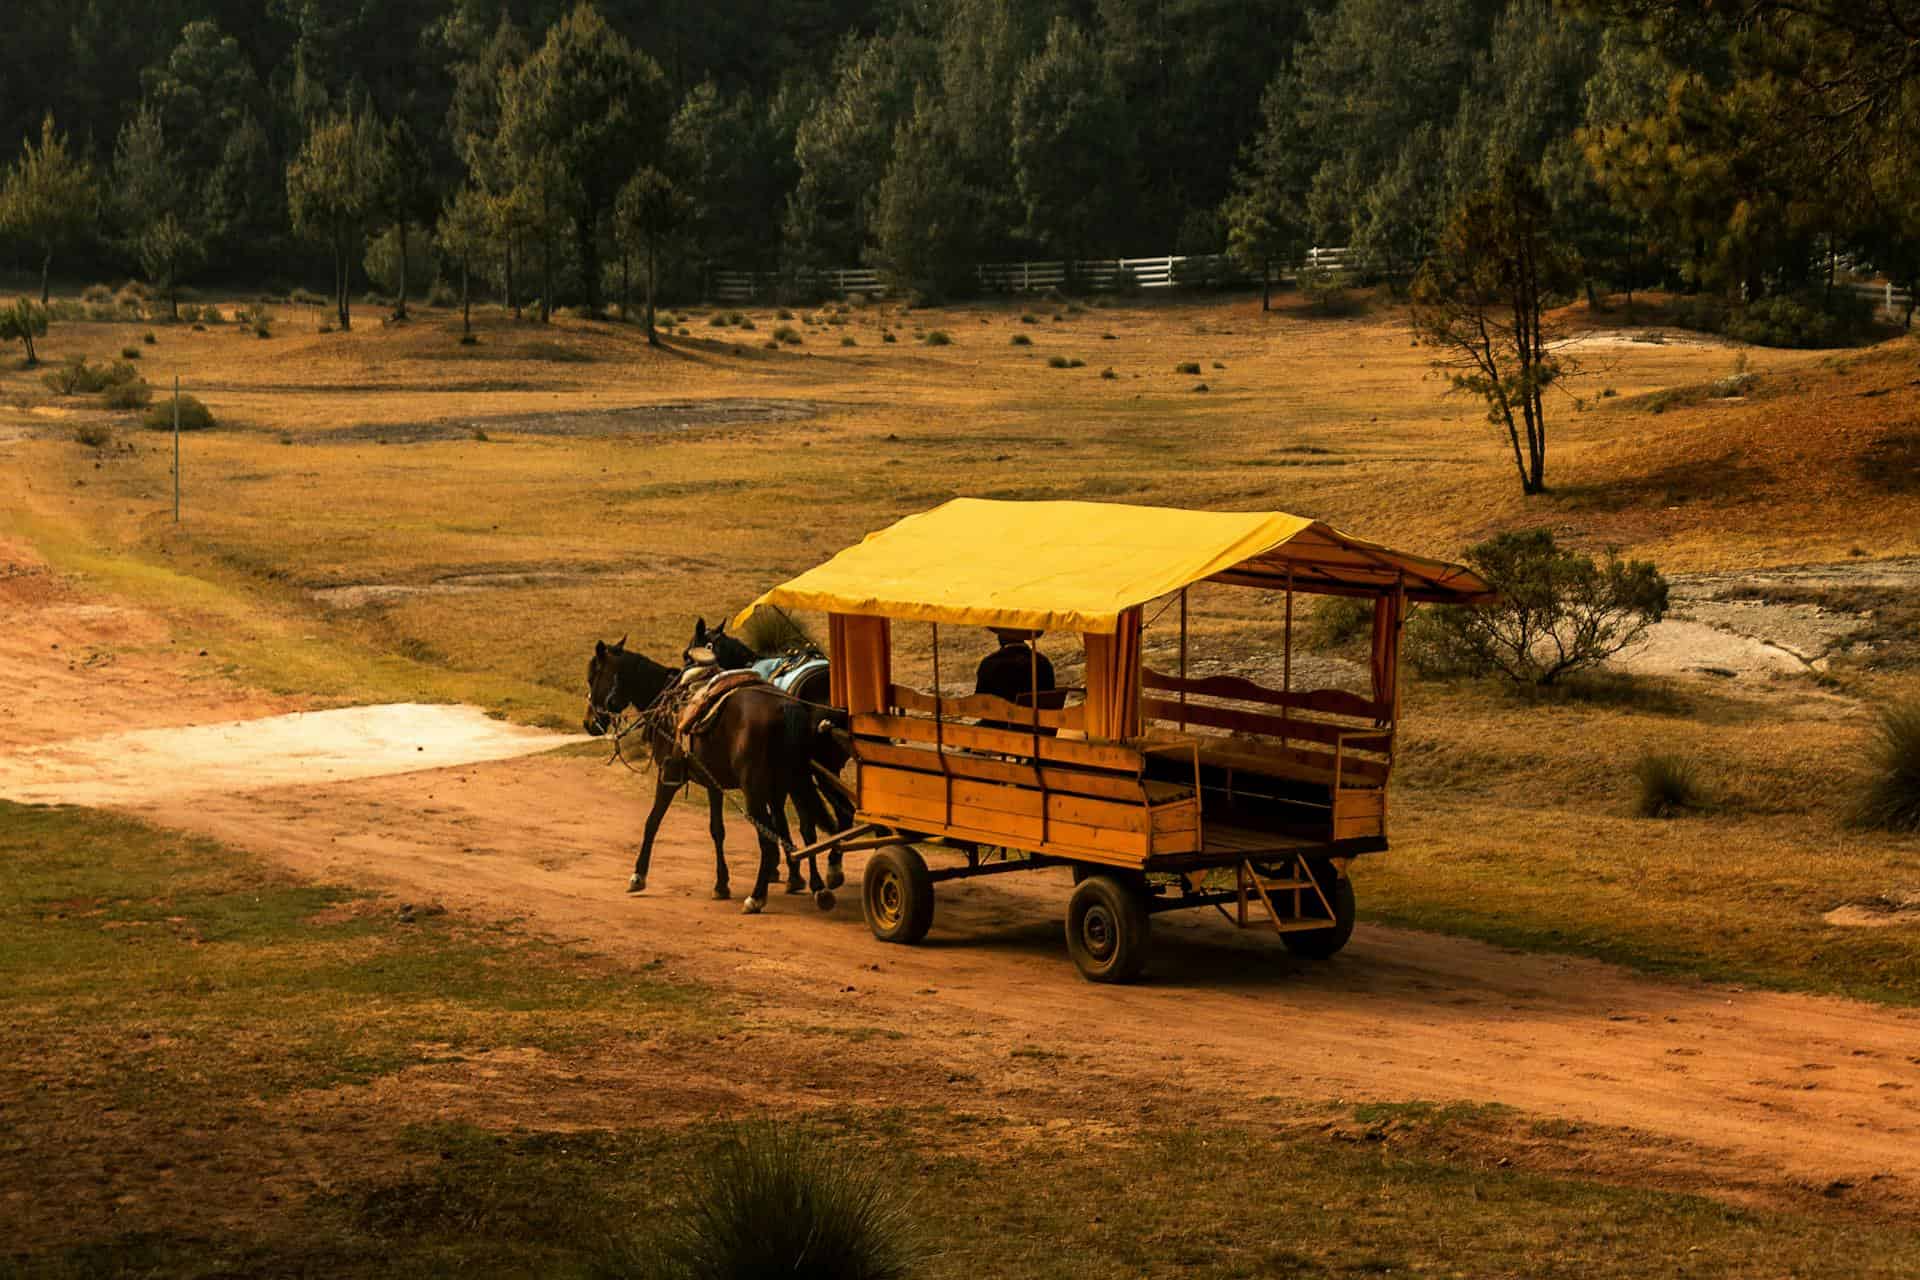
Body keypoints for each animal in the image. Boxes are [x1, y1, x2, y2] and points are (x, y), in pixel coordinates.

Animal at [584, 636, 847, 913]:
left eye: (593, 677)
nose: (589, 723)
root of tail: (785, 706)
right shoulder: (713, 783)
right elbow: (717, 830)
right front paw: (721, 884)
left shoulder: (668, 776)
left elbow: (652, 822)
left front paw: (638, 876)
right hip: (795, 782)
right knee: (809, 833)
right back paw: (819, 889)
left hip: (757, 791)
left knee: (769, 840)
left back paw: (756, 897)